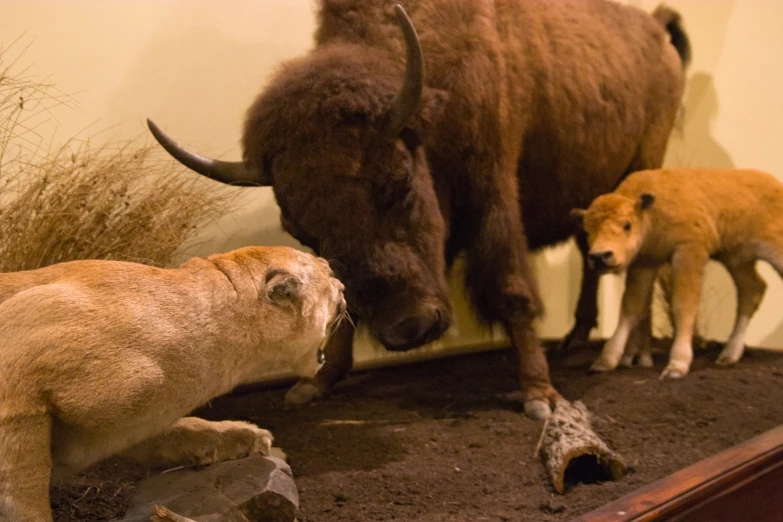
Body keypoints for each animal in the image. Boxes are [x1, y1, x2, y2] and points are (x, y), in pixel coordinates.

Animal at [147, 0, 688, 416]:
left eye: (400, 183)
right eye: (299, 228)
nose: (407, 329)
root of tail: (655, 27)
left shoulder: (493, 193)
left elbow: (512, 291)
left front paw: (540, 396)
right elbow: (343, 303)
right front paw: (314, 385)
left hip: (644, 168)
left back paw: (634, 354)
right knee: (592, 256)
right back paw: (578, 338)